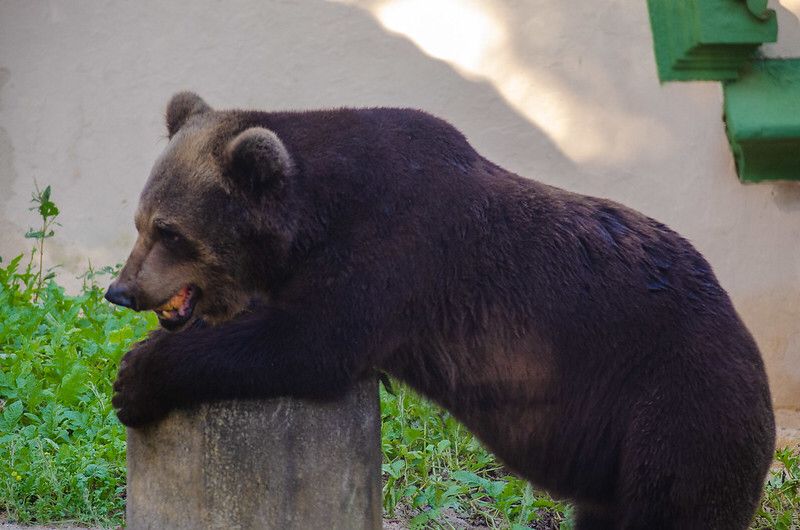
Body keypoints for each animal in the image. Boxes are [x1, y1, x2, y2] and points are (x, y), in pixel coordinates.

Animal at [106, 92, 776, 528]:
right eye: (141, 222)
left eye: (170, 232)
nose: (122, 290)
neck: (312, 220)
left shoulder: (392, 251)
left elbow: (305, 344)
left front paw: (134, 379)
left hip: (675, 411)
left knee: (669, 506)